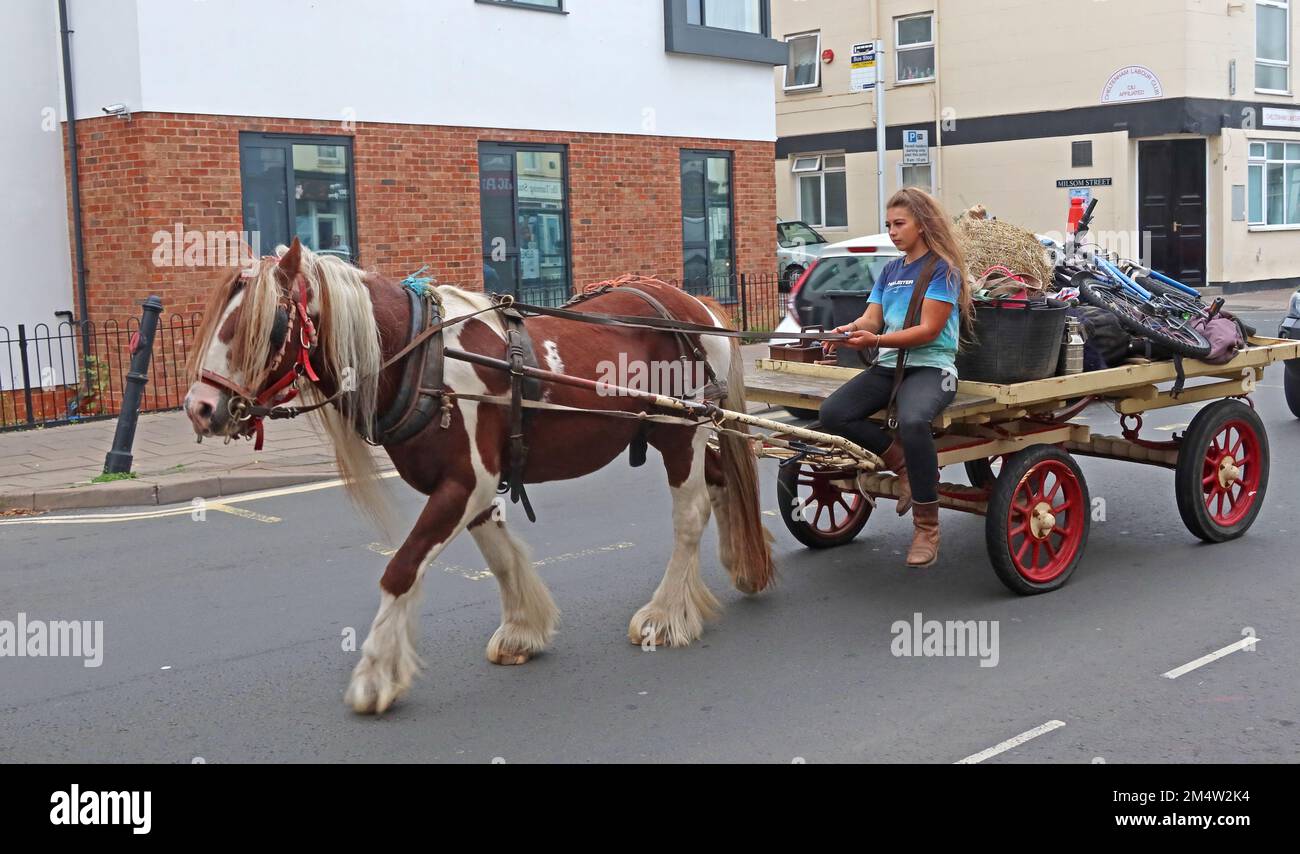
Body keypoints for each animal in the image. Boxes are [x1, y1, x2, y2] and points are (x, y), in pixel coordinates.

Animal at [183, 239, 769, 712]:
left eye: (267, 327)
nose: (200, 408)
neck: (424, 358)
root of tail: (697, 306)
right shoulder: (475, 485)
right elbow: (500, 556)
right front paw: (523, 630)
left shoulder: (466, 481)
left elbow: (401, 569)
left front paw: (375, 674)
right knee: (722, 479)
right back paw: (742, 563)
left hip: (680, 431)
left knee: (689, 515)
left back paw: (666, 615)